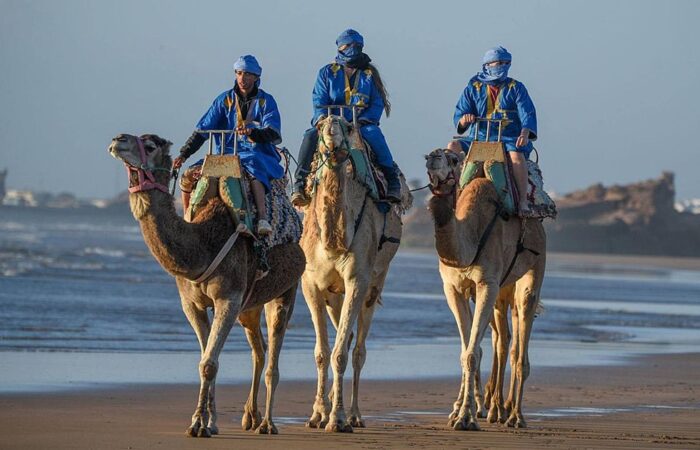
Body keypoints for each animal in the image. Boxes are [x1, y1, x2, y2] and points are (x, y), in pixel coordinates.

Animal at [108, 134, 305, 437]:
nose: (118, 140)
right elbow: (205, 358)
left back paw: (269, 424)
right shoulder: (192, 304)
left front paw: (198, 425)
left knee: (273, 353)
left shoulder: (228, 298)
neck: (202, 246)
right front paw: (208, 422)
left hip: (287, 291)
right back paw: (251, 416)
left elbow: (209, 363)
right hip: (251, 305)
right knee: (258, 350)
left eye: (150, 146)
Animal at [298, 116, 411, 432]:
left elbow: (340, 354)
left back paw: (355, 415)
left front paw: (337, 419)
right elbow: (322, 352)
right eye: (320, 125)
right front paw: (317, 414)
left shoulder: (357, 280)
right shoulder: (311, 284)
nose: (332, 134)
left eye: (347, 127)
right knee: (345, 339)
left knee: (357, 350)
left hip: (374, 285)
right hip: (333, 296)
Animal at [425, 148, 546, 430]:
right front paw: (458, 411)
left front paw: (466, 417)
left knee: (518, 347)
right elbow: (467, 351)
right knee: (504, 339)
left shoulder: (487, 284)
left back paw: (514, 415)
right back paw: (499, 409)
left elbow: (472, 353)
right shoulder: (453, 288)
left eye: (453, 159)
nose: (432, 157)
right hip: (503, 292)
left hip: (534, 271)